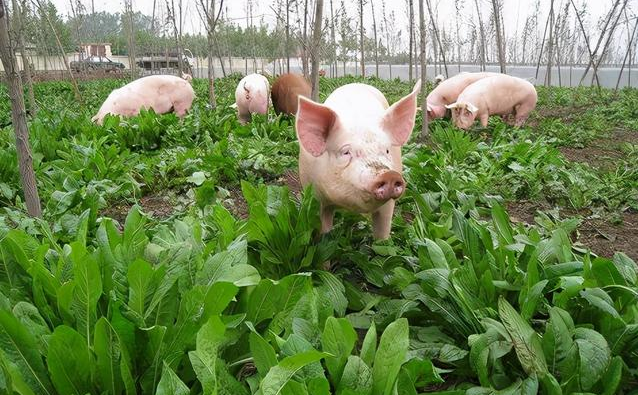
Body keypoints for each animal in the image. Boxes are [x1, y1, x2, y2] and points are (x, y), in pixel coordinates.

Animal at [296, 79, 424, 238]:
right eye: (346, 152)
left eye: (387, 150)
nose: (389, 175)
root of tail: (356, 83)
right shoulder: (315, 196)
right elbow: (323, 226)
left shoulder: (388, 204)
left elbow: (383, 230)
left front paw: (382, 242)